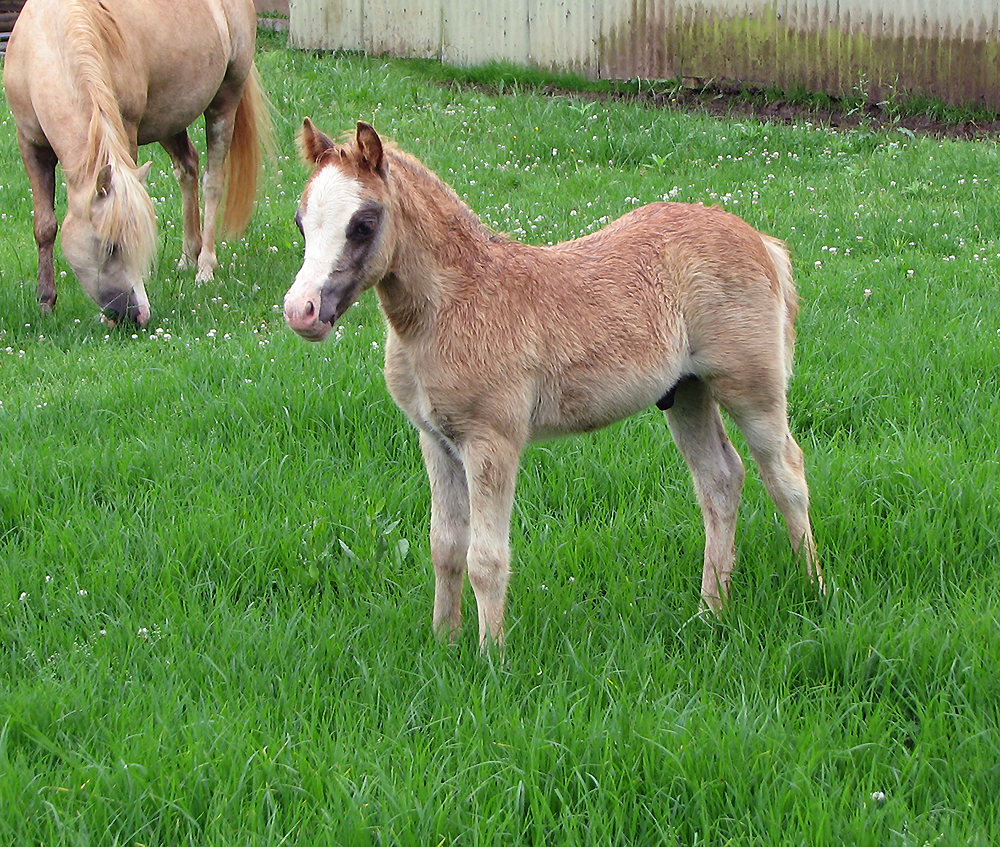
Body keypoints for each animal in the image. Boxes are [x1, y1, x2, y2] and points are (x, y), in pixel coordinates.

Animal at [3, 0, 271, 325]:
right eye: (109, 246)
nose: (138, 315)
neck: (50, 41)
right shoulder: (31, 145)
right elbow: (44, 226)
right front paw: (46, 301)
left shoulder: (125, 135)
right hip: (169, 119)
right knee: (188, 168)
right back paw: (187, 257)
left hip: (225, 100)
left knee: (213, 182)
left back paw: (205, 266)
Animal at [284, 119, 824, 648]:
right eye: (301, 221)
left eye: (364, 223)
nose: (301, 311)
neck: (456, 304)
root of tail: (760, 241)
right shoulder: (435, 440)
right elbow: (445, 547)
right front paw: (444, 645)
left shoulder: (492, 442)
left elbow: (486, 560)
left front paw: (491, 657)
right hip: (687, 394)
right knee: (720, 481)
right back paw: (711, 611)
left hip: (750, 388)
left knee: (786, 475)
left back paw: (814, 590)